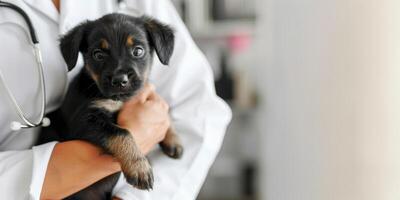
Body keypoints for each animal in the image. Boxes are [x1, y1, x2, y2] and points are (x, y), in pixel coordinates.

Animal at [48, 13, 183, 196]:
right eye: (98, 55)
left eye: (138, 51)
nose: (120, 80)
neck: (120, 99)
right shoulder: (85, 120)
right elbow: (121, 132)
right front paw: (139, 166)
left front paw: (173, 139)